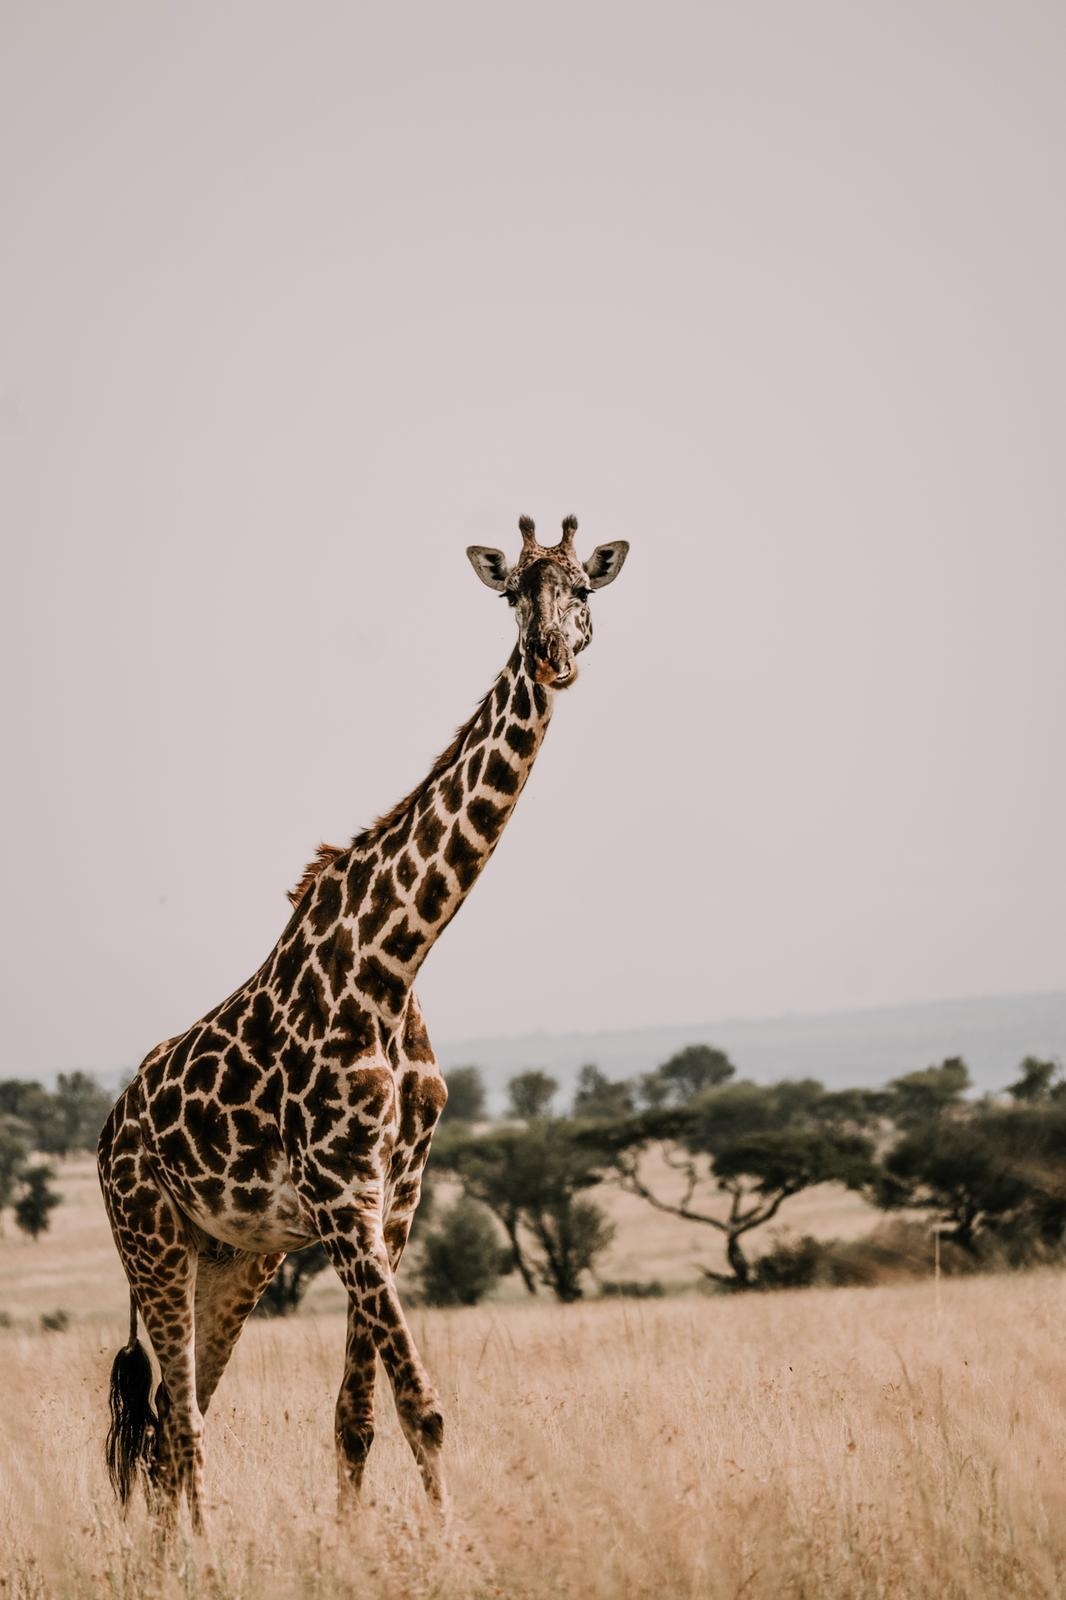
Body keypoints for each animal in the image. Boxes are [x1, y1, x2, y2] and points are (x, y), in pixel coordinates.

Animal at [98, 515, 629, 1526]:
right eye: (515, 592)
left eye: (584, 589)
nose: (554, 656)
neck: (395, 959)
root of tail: (106, 1133)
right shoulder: (344, 1192)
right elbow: (423, 1404)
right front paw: (450, 1544)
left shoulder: (397, 1195)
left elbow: (358, 1417)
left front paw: (357, 1542)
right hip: (151, 1239)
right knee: (179, 1422)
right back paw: (202, 1552)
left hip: (234, 1257)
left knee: (174, 1424)